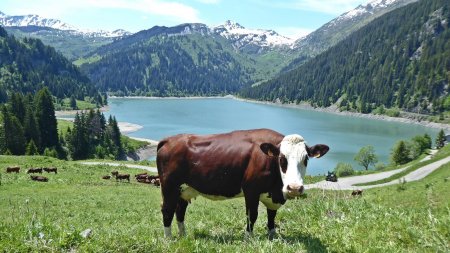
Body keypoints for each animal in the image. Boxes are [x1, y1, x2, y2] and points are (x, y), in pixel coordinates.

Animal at [156, 129, 328, 238]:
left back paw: (183, 235)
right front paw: (249, 238)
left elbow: (272, 215)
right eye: (281, 158)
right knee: (167, 210)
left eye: (306, 159)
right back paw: (169, 239)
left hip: (185, 189)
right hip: (169, 186)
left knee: (180, 210)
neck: (276, 189)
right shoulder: (251, 190)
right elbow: (252, 215)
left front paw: (272, 235)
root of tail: (169, 139)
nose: (294, 188)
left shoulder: (273, 196)